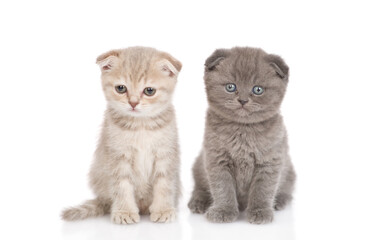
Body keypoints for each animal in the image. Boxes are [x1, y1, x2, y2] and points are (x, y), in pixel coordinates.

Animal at [61, 46, 182, 223]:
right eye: (121, 88)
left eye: (149, 91)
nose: (133, 103)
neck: (140, 126)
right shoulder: (118, 156)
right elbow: (122, 186)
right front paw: (125, 212)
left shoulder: (165, 155)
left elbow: (164, 184)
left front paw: (163, 210)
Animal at [188, 46, 296, 223]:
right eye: (230, 87)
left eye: (257, 90)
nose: (243, 100)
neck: (243, 131)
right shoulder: (217, 160)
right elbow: (222, 188)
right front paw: (223, 211)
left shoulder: (269, 162)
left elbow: (263, 190)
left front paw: (260, 212)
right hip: (198, 165)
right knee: (200, 186)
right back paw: (198, 202)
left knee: (287, 186)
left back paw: (280, 201)